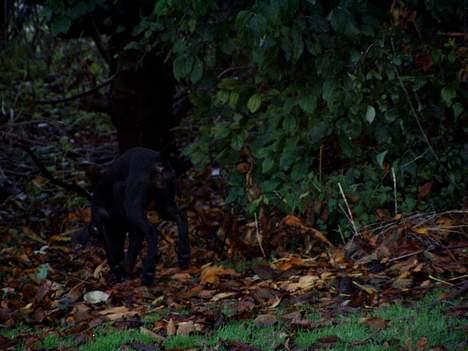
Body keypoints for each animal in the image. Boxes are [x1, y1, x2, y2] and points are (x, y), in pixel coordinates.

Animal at [85, 148, 189, 286]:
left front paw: (121, 273)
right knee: (181, 216)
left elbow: (113, 254)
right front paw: (126, 270)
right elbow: (133, 246)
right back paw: (184, 255)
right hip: (164, 205)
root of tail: (159, 159)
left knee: (151, 231)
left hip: (134, 207)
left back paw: (148, 272)